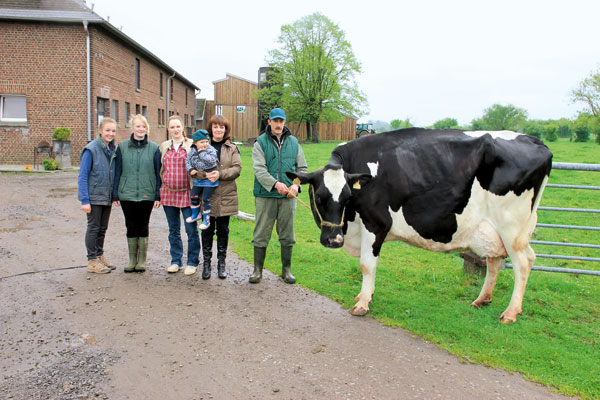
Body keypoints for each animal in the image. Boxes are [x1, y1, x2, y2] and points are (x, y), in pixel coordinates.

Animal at [290, 130, 552, 324]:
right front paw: (368, 295)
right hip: (493, 229)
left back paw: (510, 312)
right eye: (320, 197)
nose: (333, 240)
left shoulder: (376, 224)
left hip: (512, 228)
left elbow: (367, 265)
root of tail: (534, 140)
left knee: (523, 262)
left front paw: (363, 303)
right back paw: (482, 299)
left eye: (346, 198)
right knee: (495, 259)